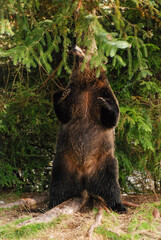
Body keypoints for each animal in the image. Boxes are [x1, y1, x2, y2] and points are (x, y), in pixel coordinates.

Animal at [49, 46, 127, 213]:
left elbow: (112, 118)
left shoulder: (103, 91)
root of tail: (84, 177)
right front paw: (60, 95)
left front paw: (106, 104)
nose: (74, 47)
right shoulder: (74, 94)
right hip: (64, 162)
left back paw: (119, 205)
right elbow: (64, 114)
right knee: (58, 183)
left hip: (104, 162)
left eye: (87, 48)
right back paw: (53, 202)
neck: (86, 84)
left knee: (111, 183)